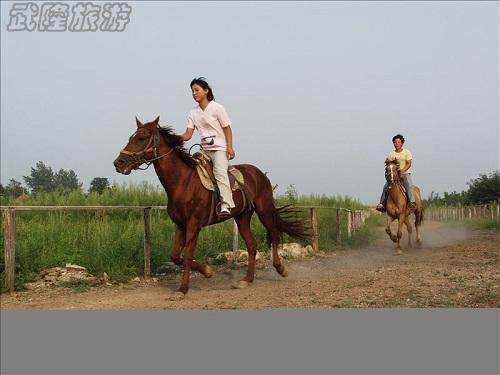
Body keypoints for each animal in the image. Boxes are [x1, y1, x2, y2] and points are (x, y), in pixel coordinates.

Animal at [114, 116, 310, 296]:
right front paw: (207, 271)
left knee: (274, 235)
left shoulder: (194, 225)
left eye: (142, 138)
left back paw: (281, 269)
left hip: (264, 211)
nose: (118, 163)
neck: (183, 182)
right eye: (131, 137)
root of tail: (259, 174)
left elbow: (187, 256)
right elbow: (175, 256)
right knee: (252, 245)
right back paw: (247, 279)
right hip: (242, 217)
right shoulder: (181, 225)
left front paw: (183, 289)